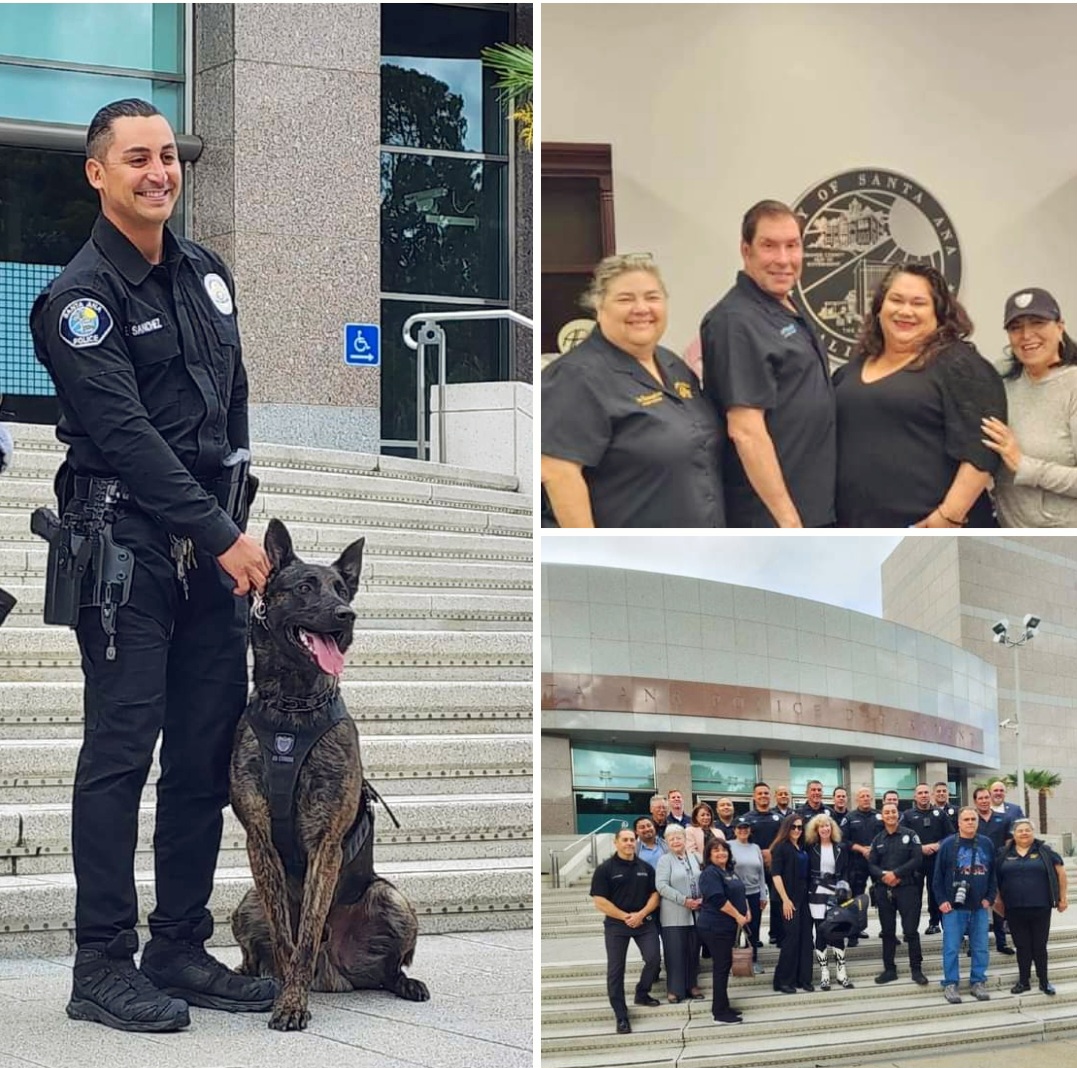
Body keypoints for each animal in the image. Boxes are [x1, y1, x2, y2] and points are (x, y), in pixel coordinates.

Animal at [230, 516, 428, 1024]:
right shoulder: (259, 840)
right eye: (305, 587)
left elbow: (303, 934)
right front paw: (286, 995)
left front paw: (292, 1004)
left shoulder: (325, 844)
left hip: (392, 899)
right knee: (256, 952)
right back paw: (248, 978)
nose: (346, 615)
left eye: (343, 589)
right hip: (248, 901)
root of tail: (332, 974)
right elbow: (287, 939)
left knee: (388, 968)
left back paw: (406, 983)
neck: (292, 707)